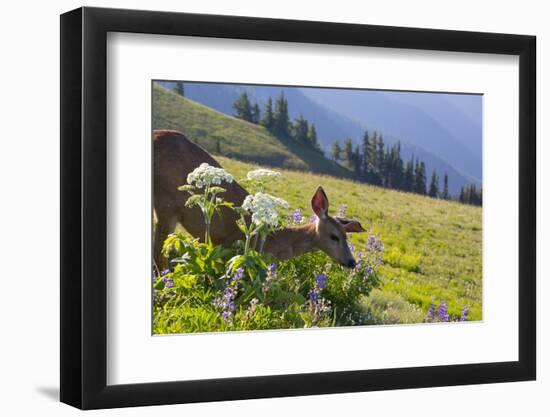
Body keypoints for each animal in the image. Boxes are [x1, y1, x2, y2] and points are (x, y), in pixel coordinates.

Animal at [153, 129, 366, 270]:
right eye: (334, 237)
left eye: (347, 236)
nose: (352, 262)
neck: (274, 241)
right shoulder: (230, 249)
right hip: (166, 204)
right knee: (159, 254)